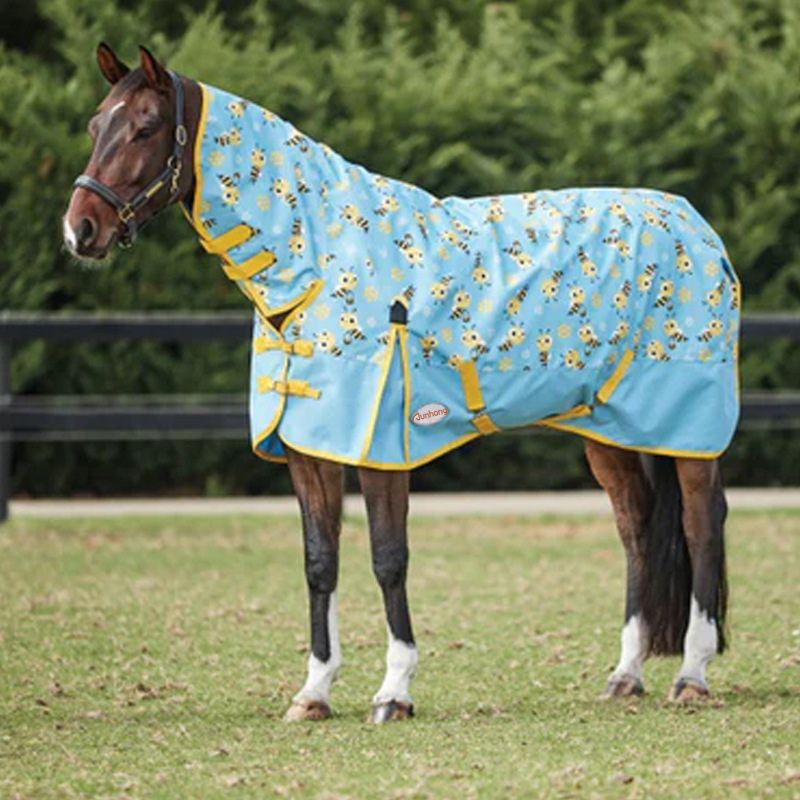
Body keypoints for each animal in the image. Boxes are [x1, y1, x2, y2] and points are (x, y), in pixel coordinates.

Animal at [63, 43, 736, 722]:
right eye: (96, 126)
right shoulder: (309, 449)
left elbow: (388, 558)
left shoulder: (382, 448)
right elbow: (320, 561)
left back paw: (692, 675)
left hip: (690, 432)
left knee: (702, 525)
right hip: (608, 429)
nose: (80, 230)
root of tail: (693, 224)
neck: (317, 264)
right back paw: (627, 674)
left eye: (146, 127)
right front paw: (314, 692)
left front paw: (394, 692)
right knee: (636, 530)